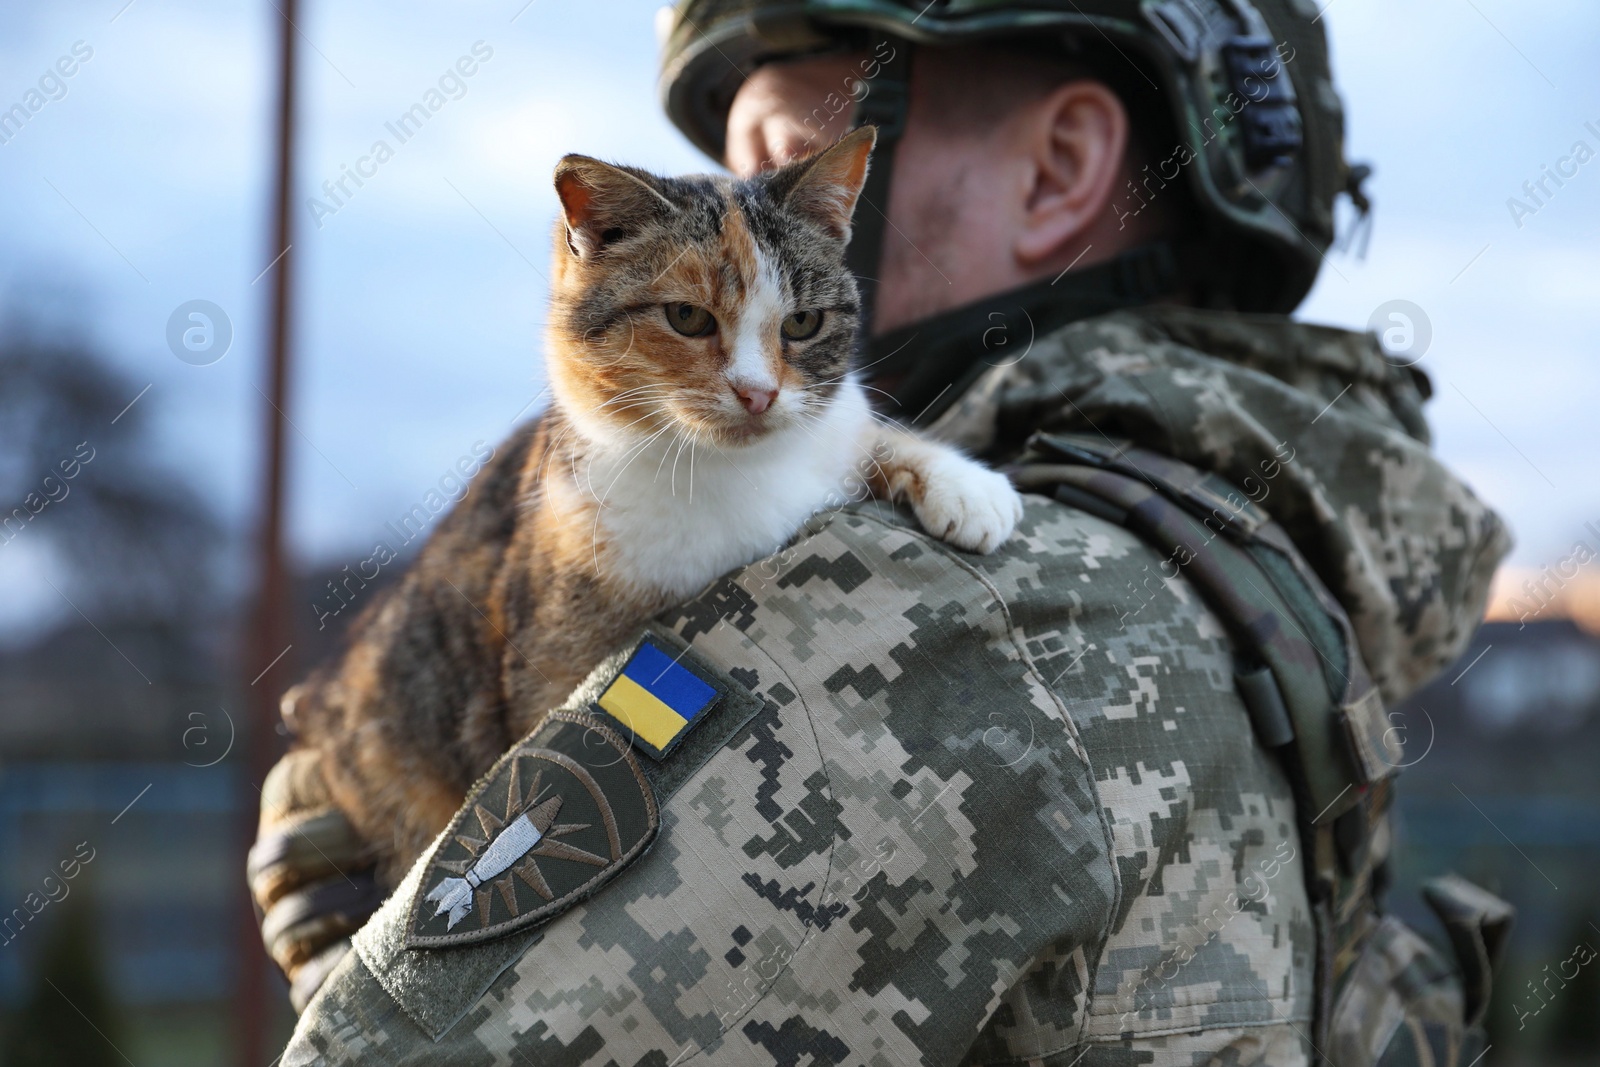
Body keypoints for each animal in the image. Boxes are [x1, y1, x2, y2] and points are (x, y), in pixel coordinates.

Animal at [283, 127, 1017, 883]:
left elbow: (858, 425)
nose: (759, 394)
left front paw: (964, 484)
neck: (725, 472)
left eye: (804, 323)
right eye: (686, 316)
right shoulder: (554, 662)